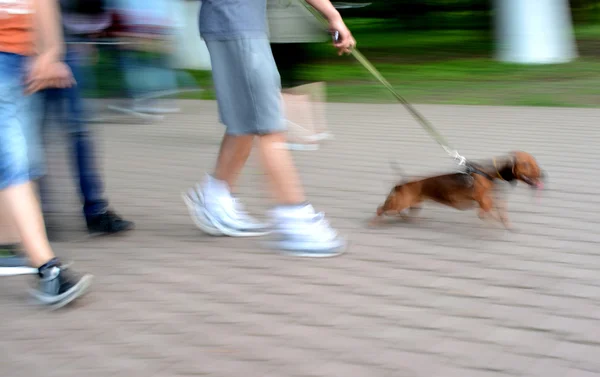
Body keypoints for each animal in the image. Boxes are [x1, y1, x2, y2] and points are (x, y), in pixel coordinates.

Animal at [370, 151, 544, 229]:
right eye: (527, 164)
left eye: (535, 163)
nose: (542, 175)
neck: (488, 173)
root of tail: (401, 183)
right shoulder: (483, 200)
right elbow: (488, 211)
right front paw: (492, 220)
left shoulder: (492, 200)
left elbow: (498, 212)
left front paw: (504, 223)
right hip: (398, 203)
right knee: (380, 209)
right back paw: (374, 223)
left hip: (413, 204)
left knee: (400, 212)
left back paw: (408, 219)